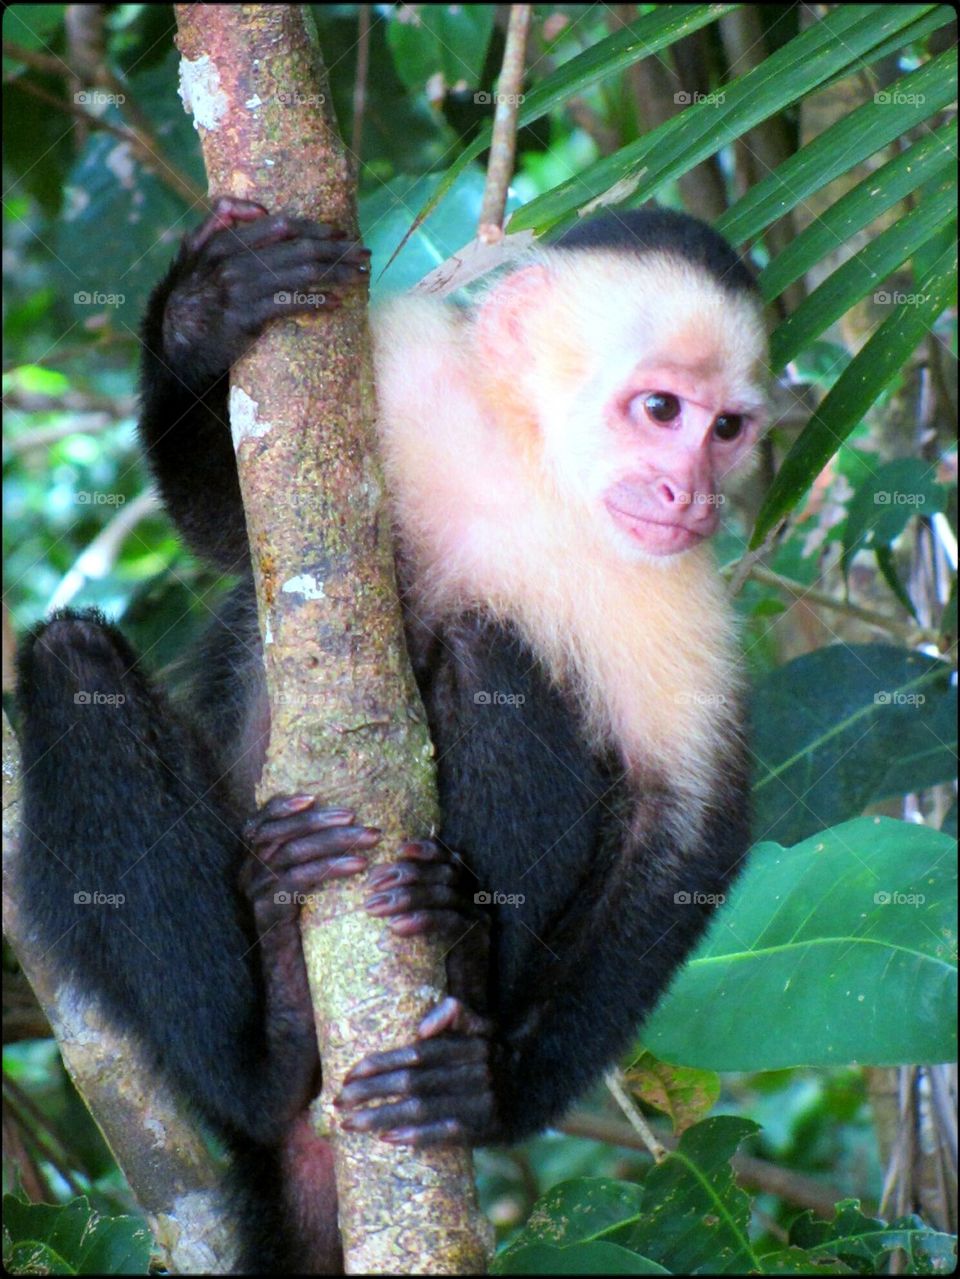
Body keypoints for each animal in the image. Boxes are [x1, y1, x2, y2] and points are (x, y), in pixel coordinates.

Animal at [15, 199, 768, 1273]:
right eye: (662, 409)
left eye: (728, 428)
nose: (690, 493)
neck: (535, 469)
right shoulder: (403, 383)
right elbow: (228, 531)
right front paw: (207, 310)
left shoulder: (681, 590)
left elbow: (696, 825)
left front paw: (498, 1094)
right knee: (70, 663)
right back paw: (266, 1048)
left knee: (497, 652)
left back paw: (455, 938)